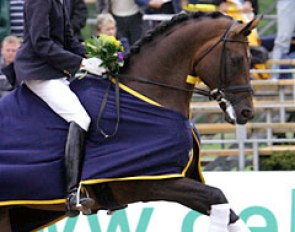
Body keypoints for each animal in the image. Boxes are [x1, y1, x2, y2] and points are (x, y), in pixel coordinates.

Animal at [0, 12, 260, 232]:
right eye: (237, 59)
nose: (247, 112)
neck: (150, 95)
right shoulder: (155, 181)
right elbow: (217, 197)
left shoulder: (182, 178)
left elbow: (227, 211)